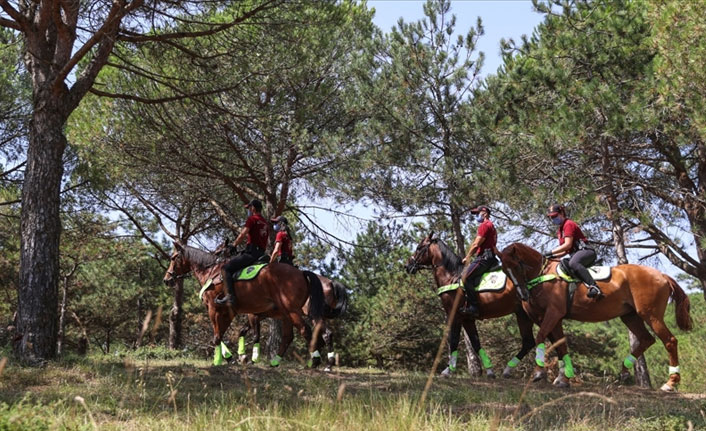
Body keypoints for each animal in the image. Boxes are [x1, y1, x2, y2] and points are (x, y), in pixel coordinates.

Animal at [164, 243, 328, 368]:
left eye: (173, 258)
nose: (167, 279)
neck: (211, 272)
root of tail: (301, 273)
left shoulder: (214, 309)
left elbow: (217, 336)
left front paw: (220, 360)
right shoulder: (229, 312)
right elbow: (222, 335)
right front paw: (232, 356)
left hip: (291, 310)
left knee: (305, 330)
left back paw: (314, 360)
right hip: (285, 313)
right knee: (288, 337)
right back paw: (276, 361)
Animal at [404, 233, 536, 378]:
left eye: (419, 247)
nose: (407, 266)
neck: (452, 277)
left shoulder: (455, 316)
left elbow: (454, 341)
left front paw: (448, 370)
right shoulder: (467, 319)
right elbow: (476, 343)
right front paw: (489, 370)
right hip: (522, 314)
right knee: (529, 342)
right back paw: (508, 369)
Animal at [498, 243, 692, 392]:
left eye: (517, 266)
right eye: (505, 271)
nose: (522, 295)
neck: (543, 275)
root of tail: (662, 275)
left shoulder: (553, 313)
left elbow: (541, 338)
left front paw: (539, 372)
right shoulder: (554, 318)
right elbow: (560, 346)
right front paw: (564, 379)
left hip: (651, 314)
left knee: (669, 341)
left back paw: (670, 383)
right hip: (630, 316)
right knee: (646, 339)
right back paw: (624, 370)